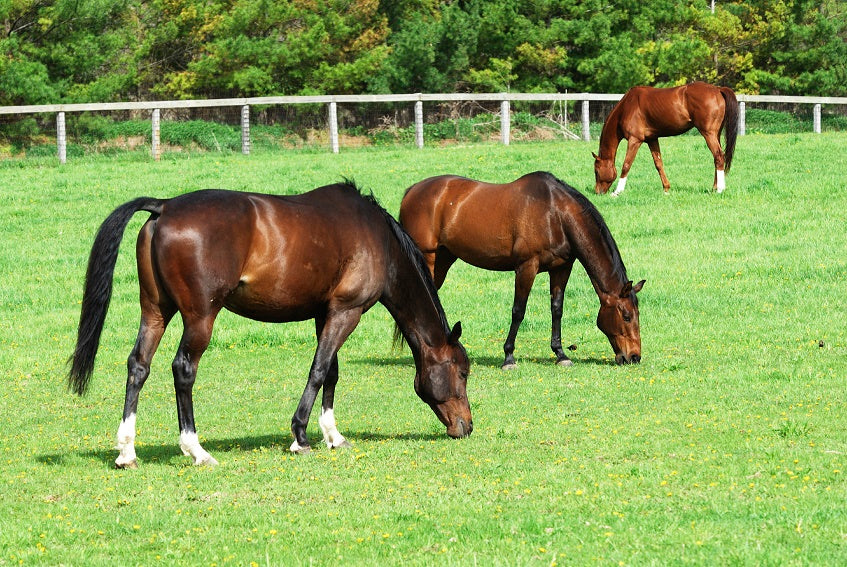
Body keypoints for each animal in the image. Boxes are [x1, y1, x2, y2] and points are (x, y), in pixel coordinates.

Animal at [68, 182, 472, 468]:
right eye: (463, 372)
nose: (466, 426)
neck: (379, 242)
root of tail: (164, 206)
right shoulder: (346, 311)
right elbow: (319, 370)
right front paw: (301, 436)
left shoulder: (326, 313)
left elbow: (331, 372)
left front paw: (333, 435)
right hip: (200, 318)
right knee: (183, 369)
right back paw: (196, 449)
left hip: (155, 311)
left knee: (138, 366)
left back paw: (127, 452)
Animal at [399, 171, 645, 369]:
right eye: (626, 316)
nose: (634, 357)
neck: (555, 214)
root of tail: (412, 191)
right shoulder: (527, 267)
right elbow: (518, 311)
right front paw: (508, 357)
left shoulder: (561, 268)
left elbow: (557, 309)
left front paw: (560, 354)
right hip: (428, 258)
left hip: (443, 259)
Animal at [593, 81, 738, 196]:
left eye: (596, 171)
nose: (597, 192)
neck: (627, 107)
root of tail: (718, 89)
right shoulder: (652, 139)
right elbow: (658, 164)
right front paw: (666, 189)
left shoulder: (635, 140)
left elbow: (626, 165)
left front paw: (617, 191)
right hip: (716, 134)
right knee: (717, 158)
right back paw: (714, 187)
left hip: (709, 133)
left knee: (718, 156)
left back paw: (720, 189)